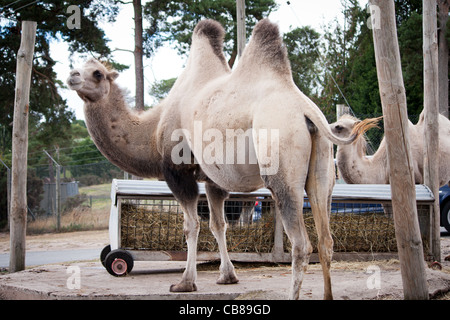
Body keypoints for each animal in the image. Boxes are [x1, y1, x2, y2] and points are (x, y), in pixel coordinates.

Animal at [67, 19, 370, 300]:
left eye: (97, 73)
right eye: (78, 66)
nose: (71, 76)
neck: (153, 130)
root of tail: (306, 112)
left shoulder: (179, 172)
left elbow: (191, 226)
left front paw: (185, 283)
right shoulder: (215, 180)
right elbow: (218, 224)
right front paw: (227, 276)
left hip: (282, 168)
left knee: (301, 243)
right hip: (322, 170)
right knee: (326, 240)